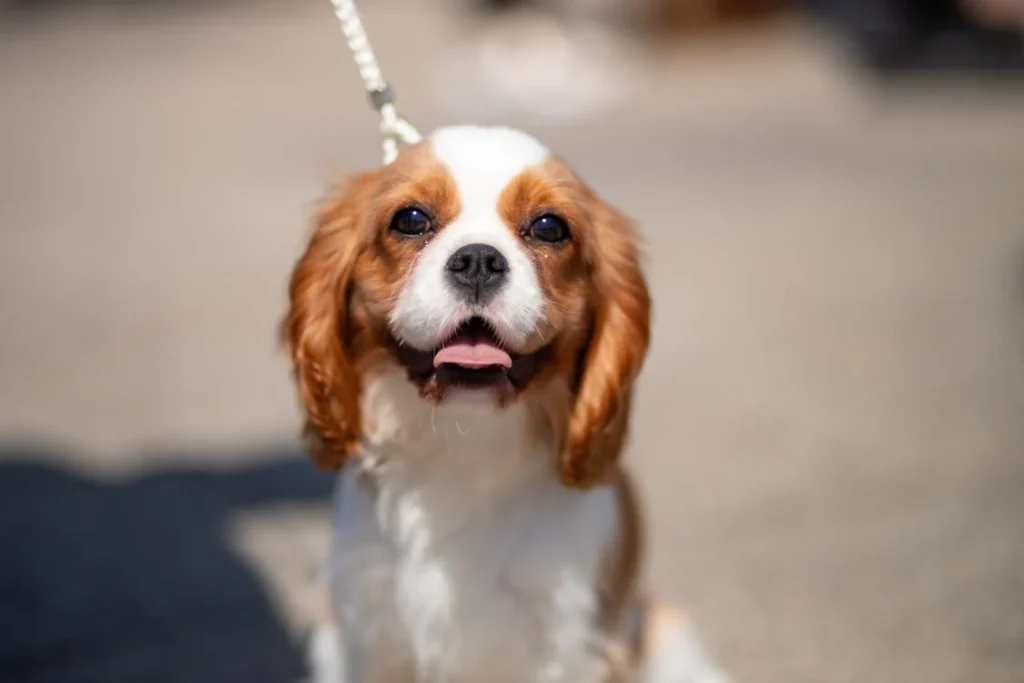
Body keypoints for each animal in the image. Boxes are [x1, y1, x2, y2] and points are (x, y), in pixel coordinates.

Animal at [282, 124, 729, 683]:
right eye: (410, 220)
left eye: (549, 227)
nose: (478, 260)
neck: (465, 442)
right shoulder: (369, 633)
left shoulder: (566, 641)